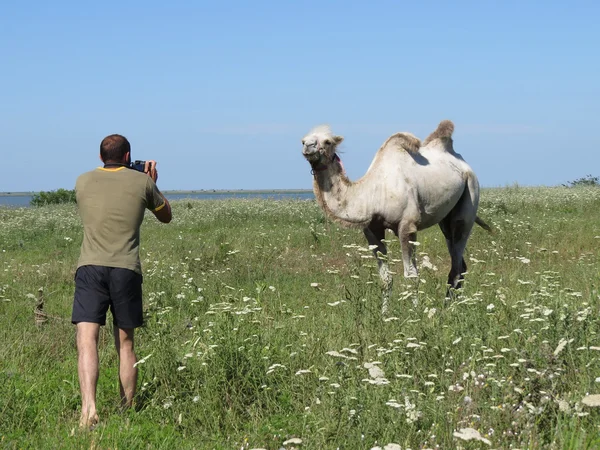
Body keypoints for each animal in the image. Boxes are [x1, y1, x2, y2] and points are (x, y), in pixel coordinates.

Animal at [302, 119, 490, 312]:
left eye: (327, 142)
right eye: (302, 140)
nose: (308, 146)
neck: (372, 194)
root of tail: (464, 165)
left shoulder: (407, 225)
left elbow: (412, 275)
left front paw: (415, 313)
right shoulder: (372, 230)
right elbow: (385, 278)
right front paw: (384, 314)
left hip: (470, 195)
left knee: (458, 259)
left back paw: (451, 308)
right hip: (446, 220)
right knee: (459, 260)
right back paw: (451, 304)